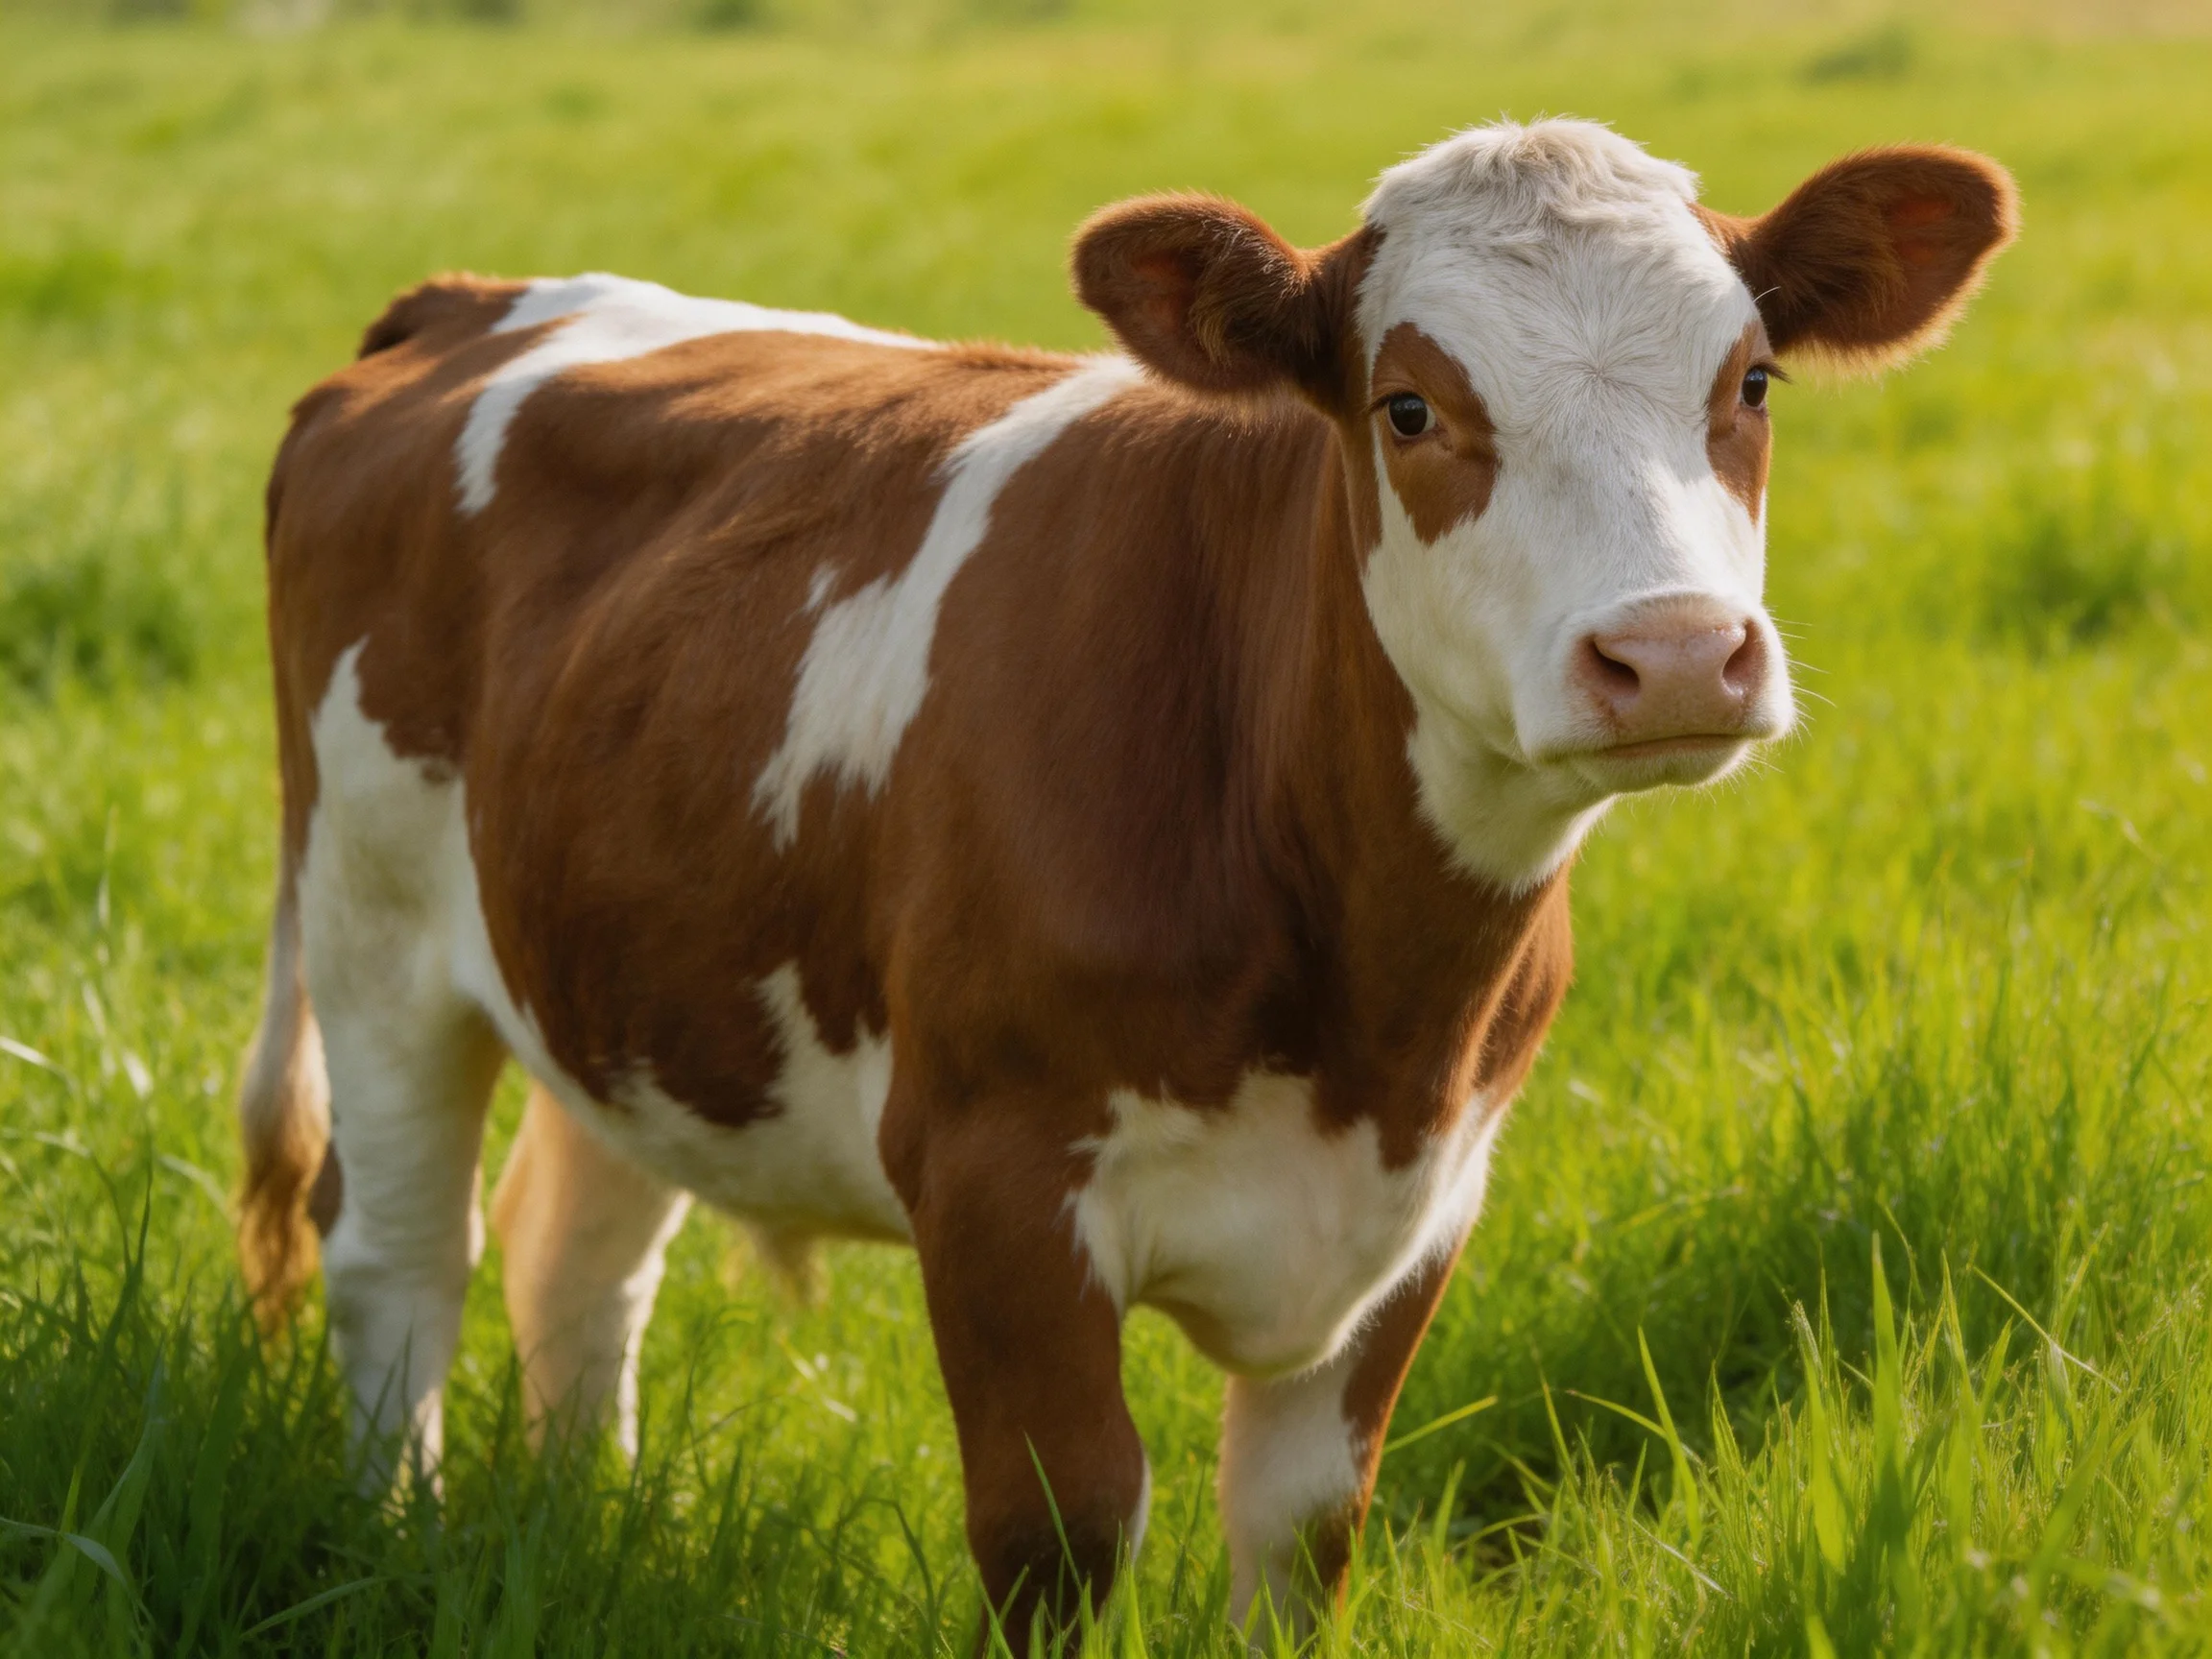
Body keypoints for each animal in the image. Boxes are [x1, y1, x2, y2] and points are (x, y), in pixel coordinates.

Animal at [235, 118, 2014, 1644]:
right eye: (1408, 408)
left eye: (1751, 380)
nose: (1673, 654)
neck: (1367, 1008)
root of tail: (473, 303)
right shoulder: (992, 1172)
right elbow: (1064, 1523)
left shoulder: (1432, 1194)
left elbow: (1302, 1528)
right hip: (372, 930)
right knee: (399, 1260)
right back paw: (397, 1539)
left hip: (634, 983)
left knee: (577, 1265)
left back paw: (581, 1529)